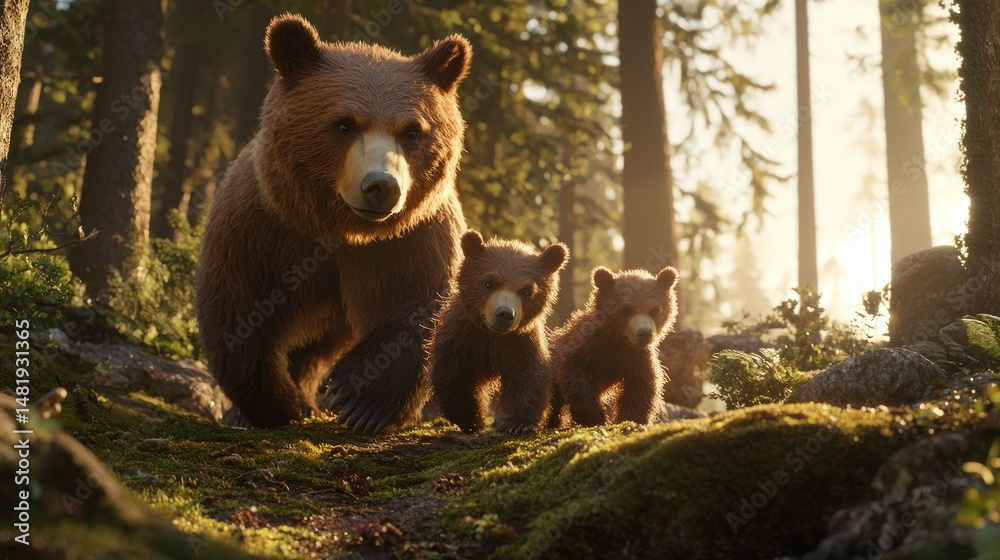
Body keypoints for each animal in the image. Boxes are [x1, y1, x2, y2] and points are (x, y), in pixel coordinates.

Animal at [195, 13, 471, 435]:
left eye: (411, 130)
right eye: (344, 125)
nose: (381, 186)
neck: (342, 230)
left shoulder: (413, 237)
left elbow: (420, 306)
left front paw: (359, 399)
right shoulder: (264, 229)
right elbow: (239, 309)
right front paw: (275, 405)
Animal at [427, 230, 568, 434]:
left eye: (527, 291)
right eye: (489, 283)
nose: (504, 314)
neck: (492, 336)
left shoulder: (520, 343)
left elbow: (527, 377)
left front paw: (517, 424)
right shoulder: (462, 338)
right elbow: (453, 375)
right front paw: (472, 420)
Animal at [548, 266, 679, 428]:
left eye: (654, 310)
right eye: (626, 310)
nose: (645, 333)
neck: (618, 342)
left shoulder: (636, 358)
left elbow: (641, 387)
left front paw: (631, 418)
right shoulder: (586, 348)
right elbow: (574, 372)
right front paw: (594, 417)